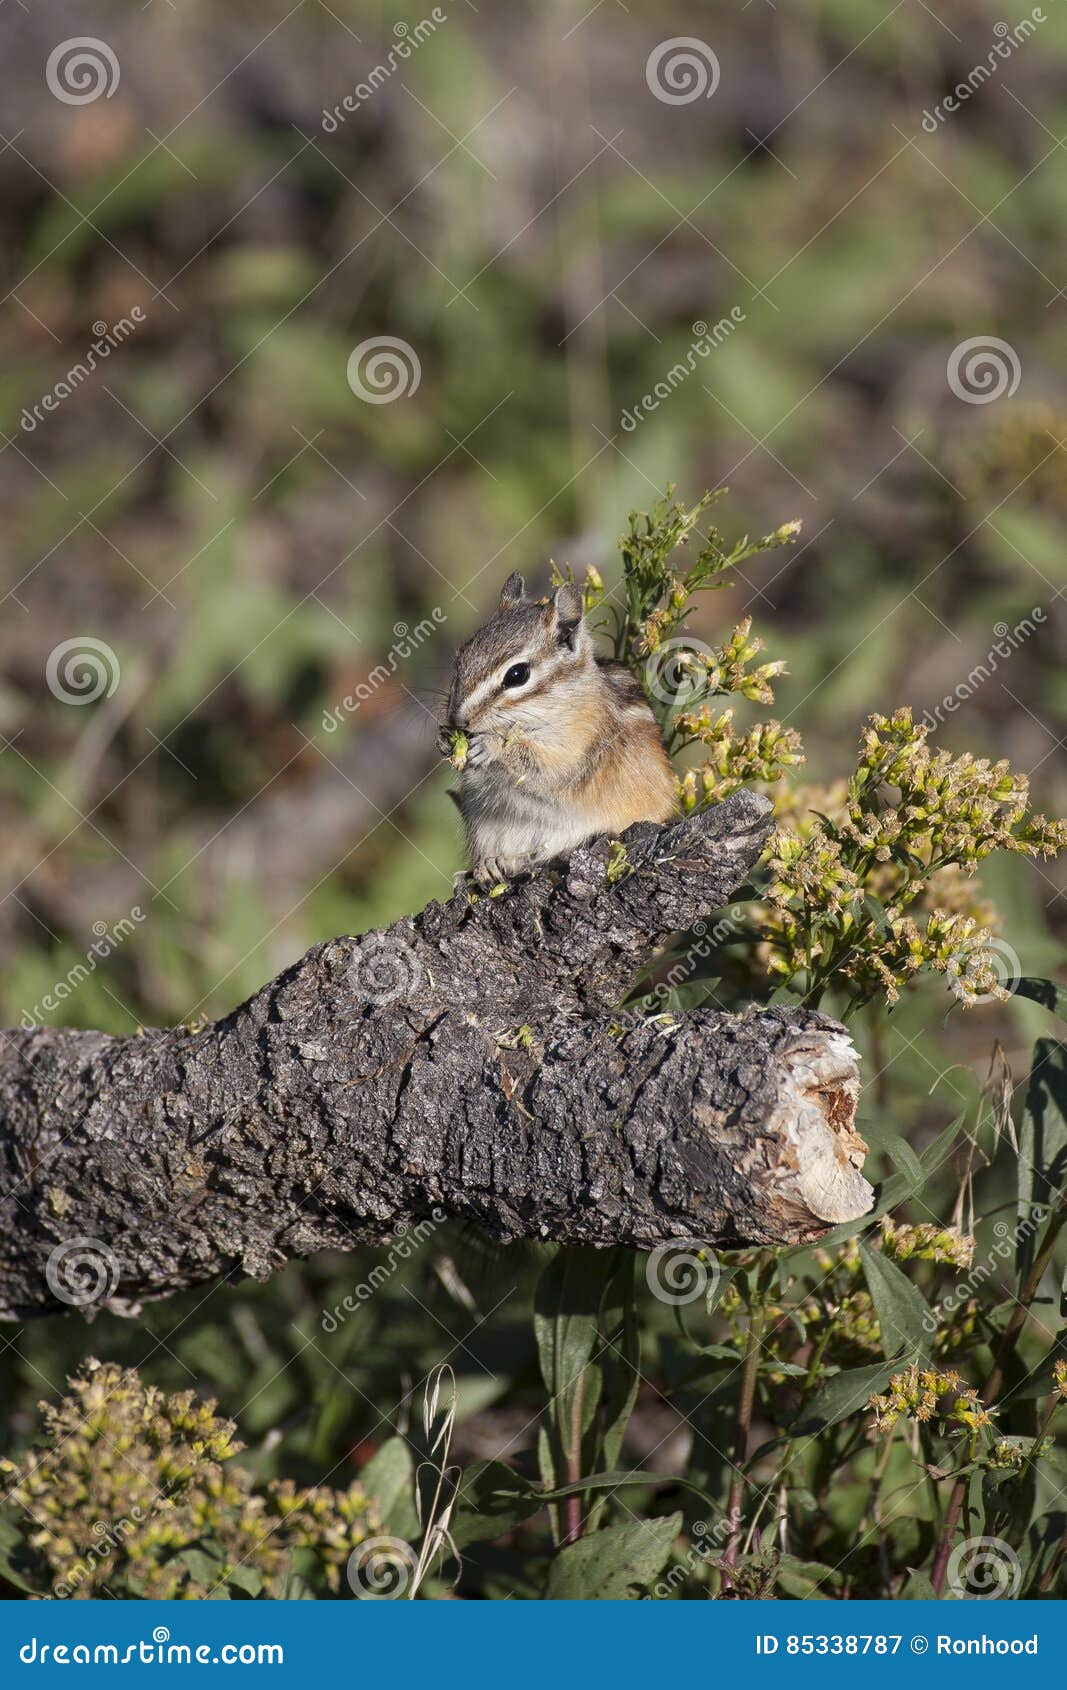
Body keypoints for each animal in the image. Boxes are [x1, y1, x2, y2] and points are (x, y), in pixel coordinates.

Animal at [437, 571, 677, 887]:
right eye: (461, 656)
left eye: (517, 675)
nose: (458, 720)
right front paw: (444, 740)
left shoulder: (579, 750)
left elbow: (545, 769)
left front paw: (491, 746)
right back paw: (489, 865)